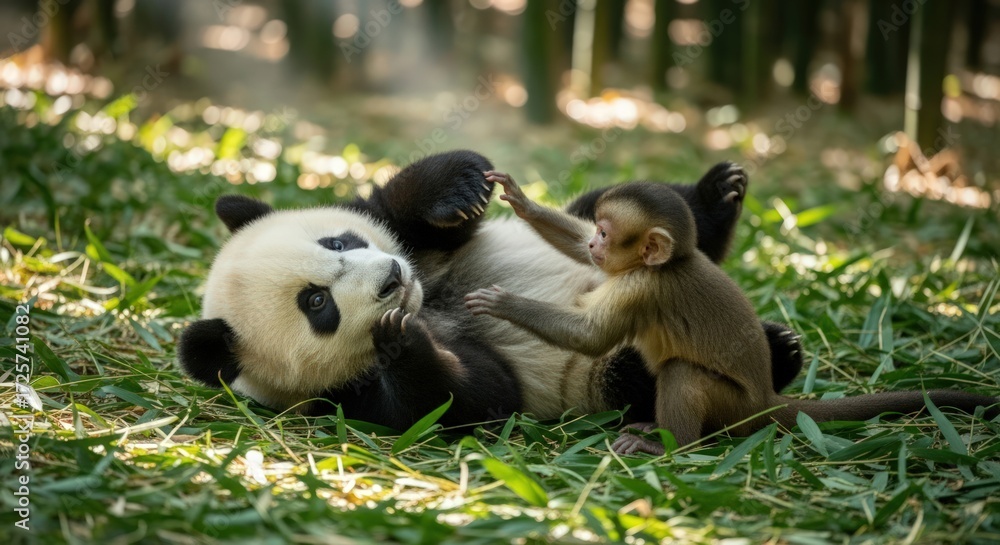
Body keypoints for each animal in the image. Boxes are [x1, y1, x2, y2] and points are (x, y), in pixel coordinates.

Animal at [177, 150, 803, 430]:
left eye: (338, 242)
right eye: (317, 304)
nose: (392, 280)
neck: (433, 303)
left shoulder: (409, 239)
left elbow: (399, 206)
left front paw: (460, 187)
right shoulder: (341, 397)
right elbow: (473, 396)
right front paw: (405, 346)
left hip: (610, 238)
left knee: (639, 215)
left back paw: (720, 193)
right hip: (600, 374)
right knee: (636, 376)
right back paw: (779, 350)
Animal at [465, 171, 998, 455]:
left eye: (606, 231)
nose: (597, 244)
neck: (666, 265)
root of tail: (765, 399)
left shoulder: (641, 287)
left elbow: (591, 338)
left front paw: (504, 305)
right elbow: (572, 254)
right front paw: (523, 201)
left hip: (730, 406)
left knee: (681, 373)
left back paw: (670, 442)